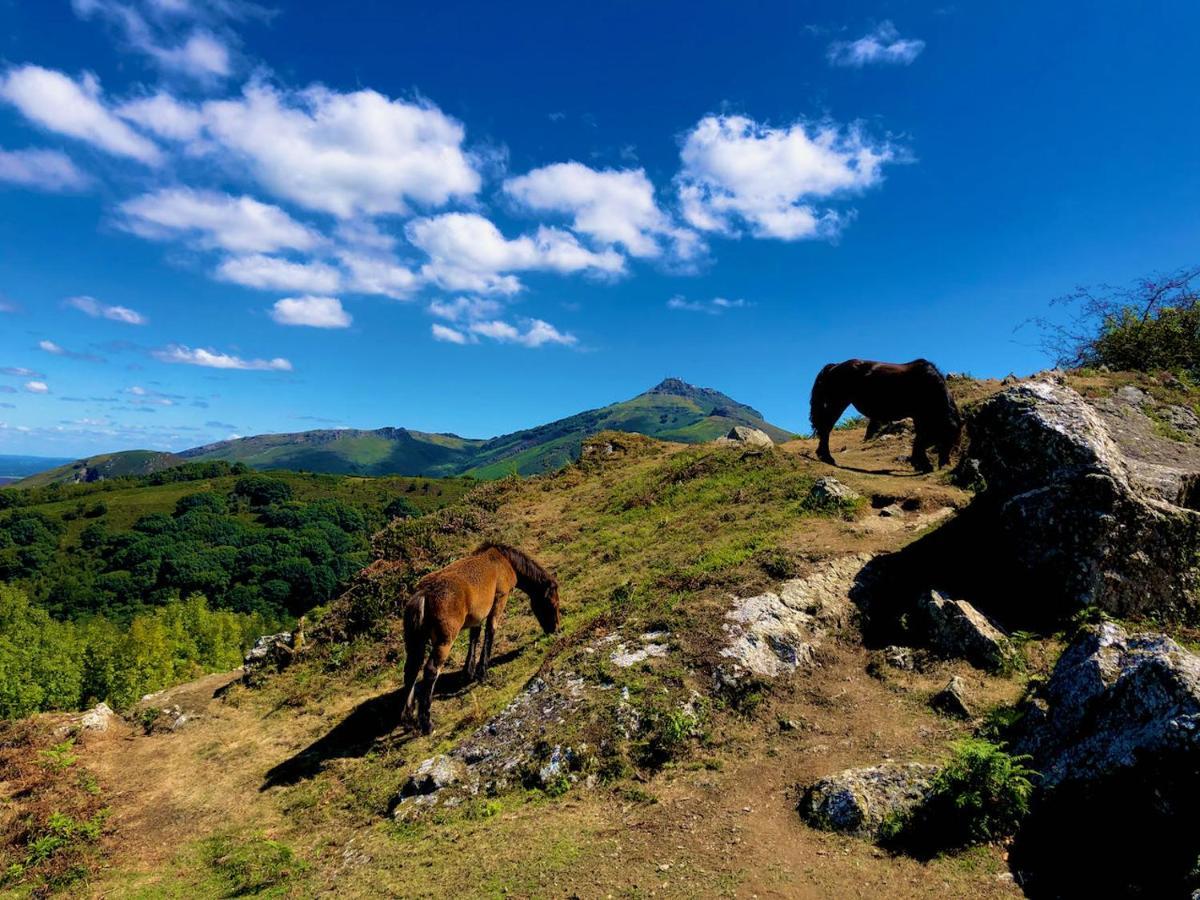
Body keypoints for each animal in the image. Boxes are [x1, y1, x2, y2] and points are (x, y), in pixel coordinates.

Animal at [398, 540, 556, 734]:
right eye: (551, 603)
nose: (555, 628)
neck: (503, 561)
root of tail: (424, 595)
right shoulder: (499, 599)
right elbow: (490, 631)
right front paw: (482, 673)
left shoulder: (477, 615)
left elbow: (474, 637)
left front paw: (469, 672)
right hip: (444, 641)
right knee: (430, 671)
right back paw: (427, 723)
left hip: (415, 641)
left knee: (410, 671)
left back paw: (409, 719)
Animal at [806, 357, 964, 475]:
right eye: (947, 438)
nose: (945, 464)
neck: (930, 386)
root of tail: (834, 366)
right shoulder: (920, 416)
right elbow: (920, 439)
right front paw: (924, 464)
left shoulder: (919, 417)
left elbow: (919, 439)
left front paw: (918, 463)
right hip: (838, 403)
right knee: (826, 427)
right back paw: (827, 457)